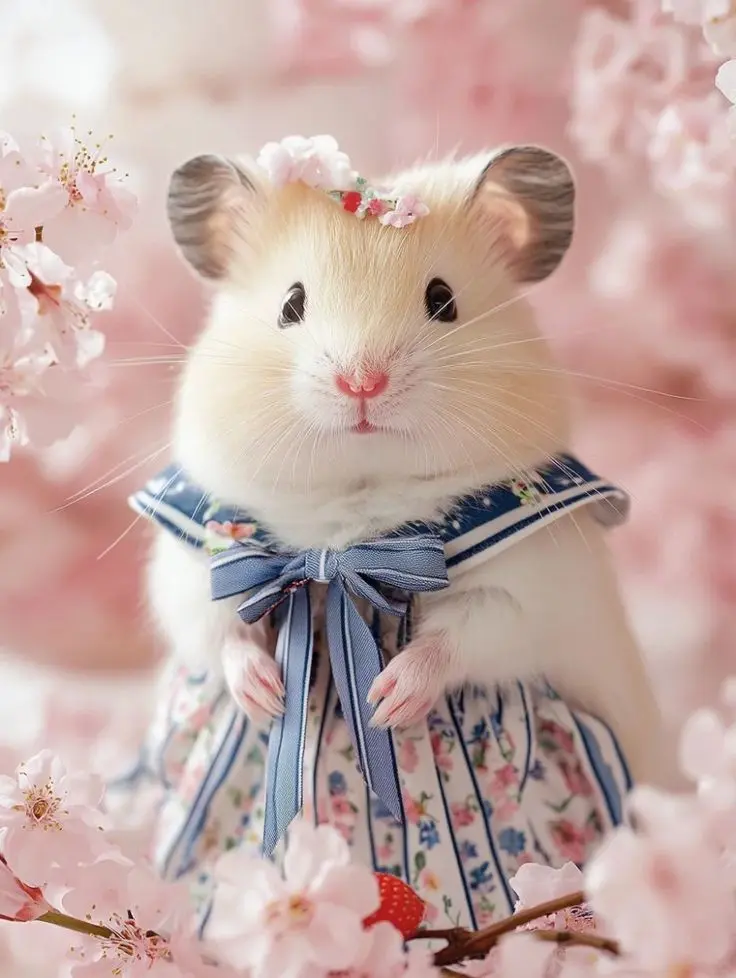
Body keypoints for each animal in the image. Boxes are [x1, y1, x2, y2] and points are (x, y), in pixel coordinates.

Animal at [146, 145, 674, 788]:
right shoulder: (198, 559)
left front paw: (383, 700)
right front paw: (269, 698)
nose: (362, 383)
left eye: (442, 299)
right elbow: (217, 628)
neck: (350, 531)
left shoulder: (539, 582)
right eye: (290, 304)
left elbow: (462, 636)